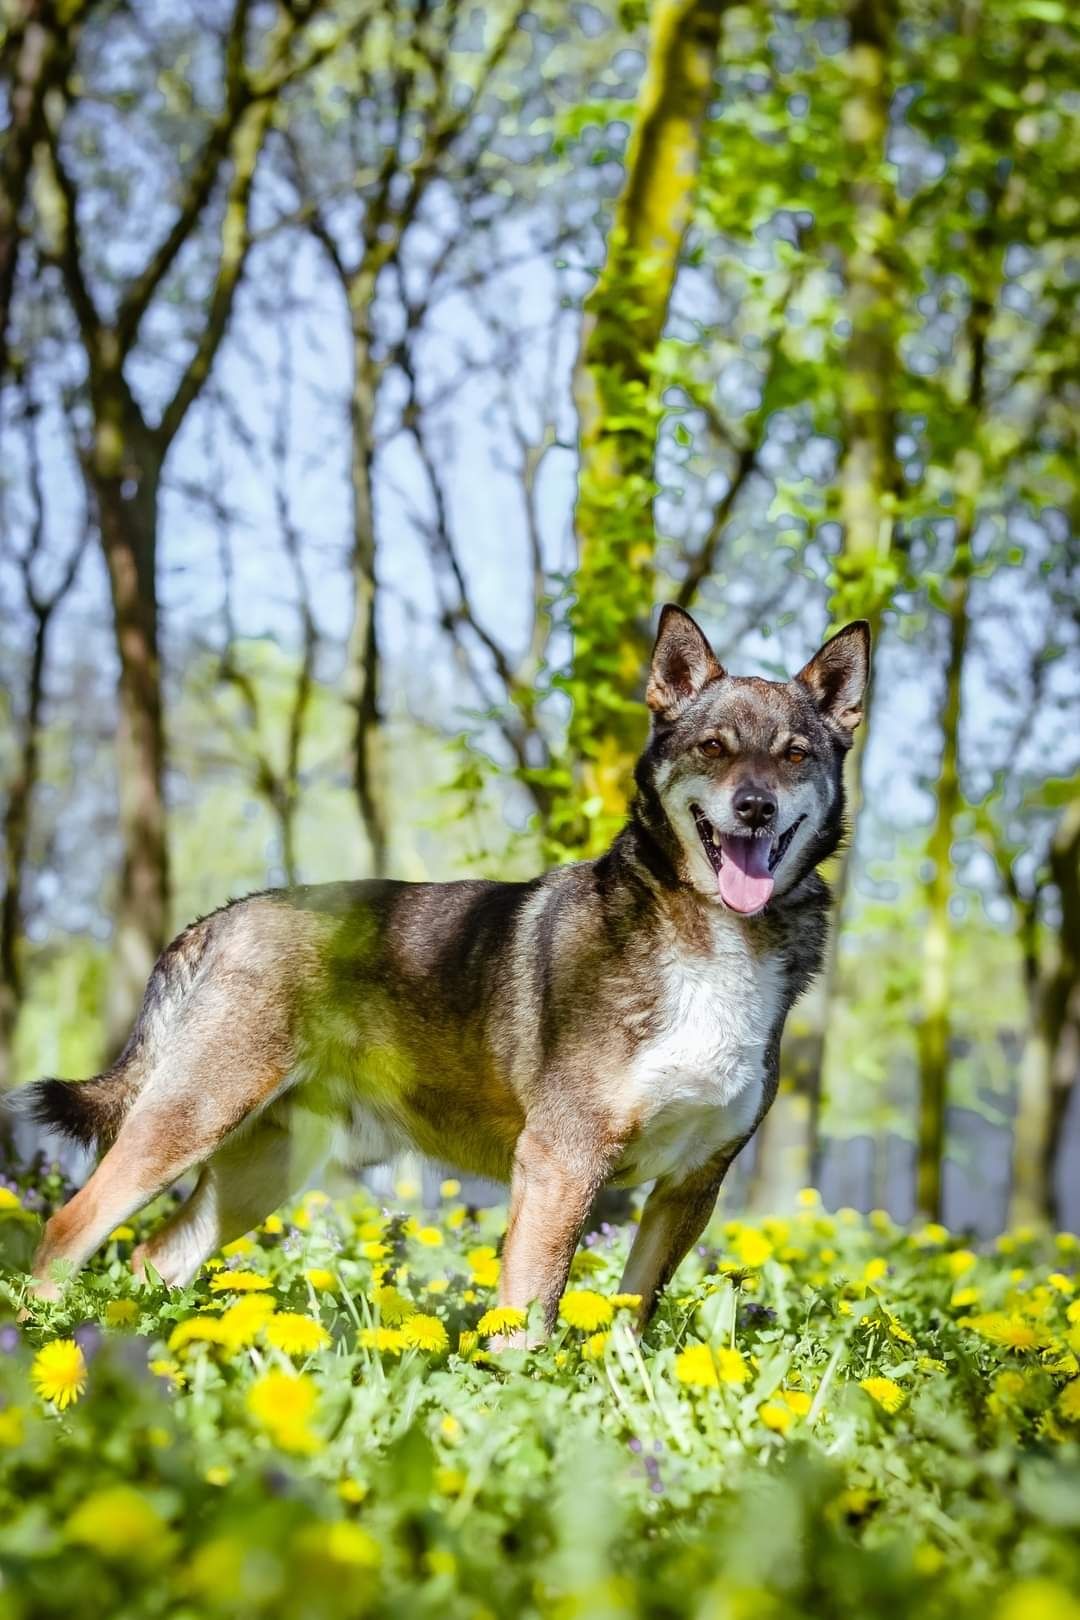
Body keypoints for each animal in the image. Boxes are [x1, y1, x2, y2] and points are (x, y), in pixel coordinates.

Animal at [23, 609, 867, 1328]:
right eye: (713, 749)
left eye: (794, 756)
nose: (754, 808)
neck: (712, 941)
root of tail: (224, 917)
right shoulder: (562, 1164)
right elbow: (531, 1313)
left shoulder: (690, 1185)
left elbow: (630, 1317)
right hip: (189, 1119)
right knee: (68, 1226)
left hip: (263, 1169)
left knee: (154, 1257)